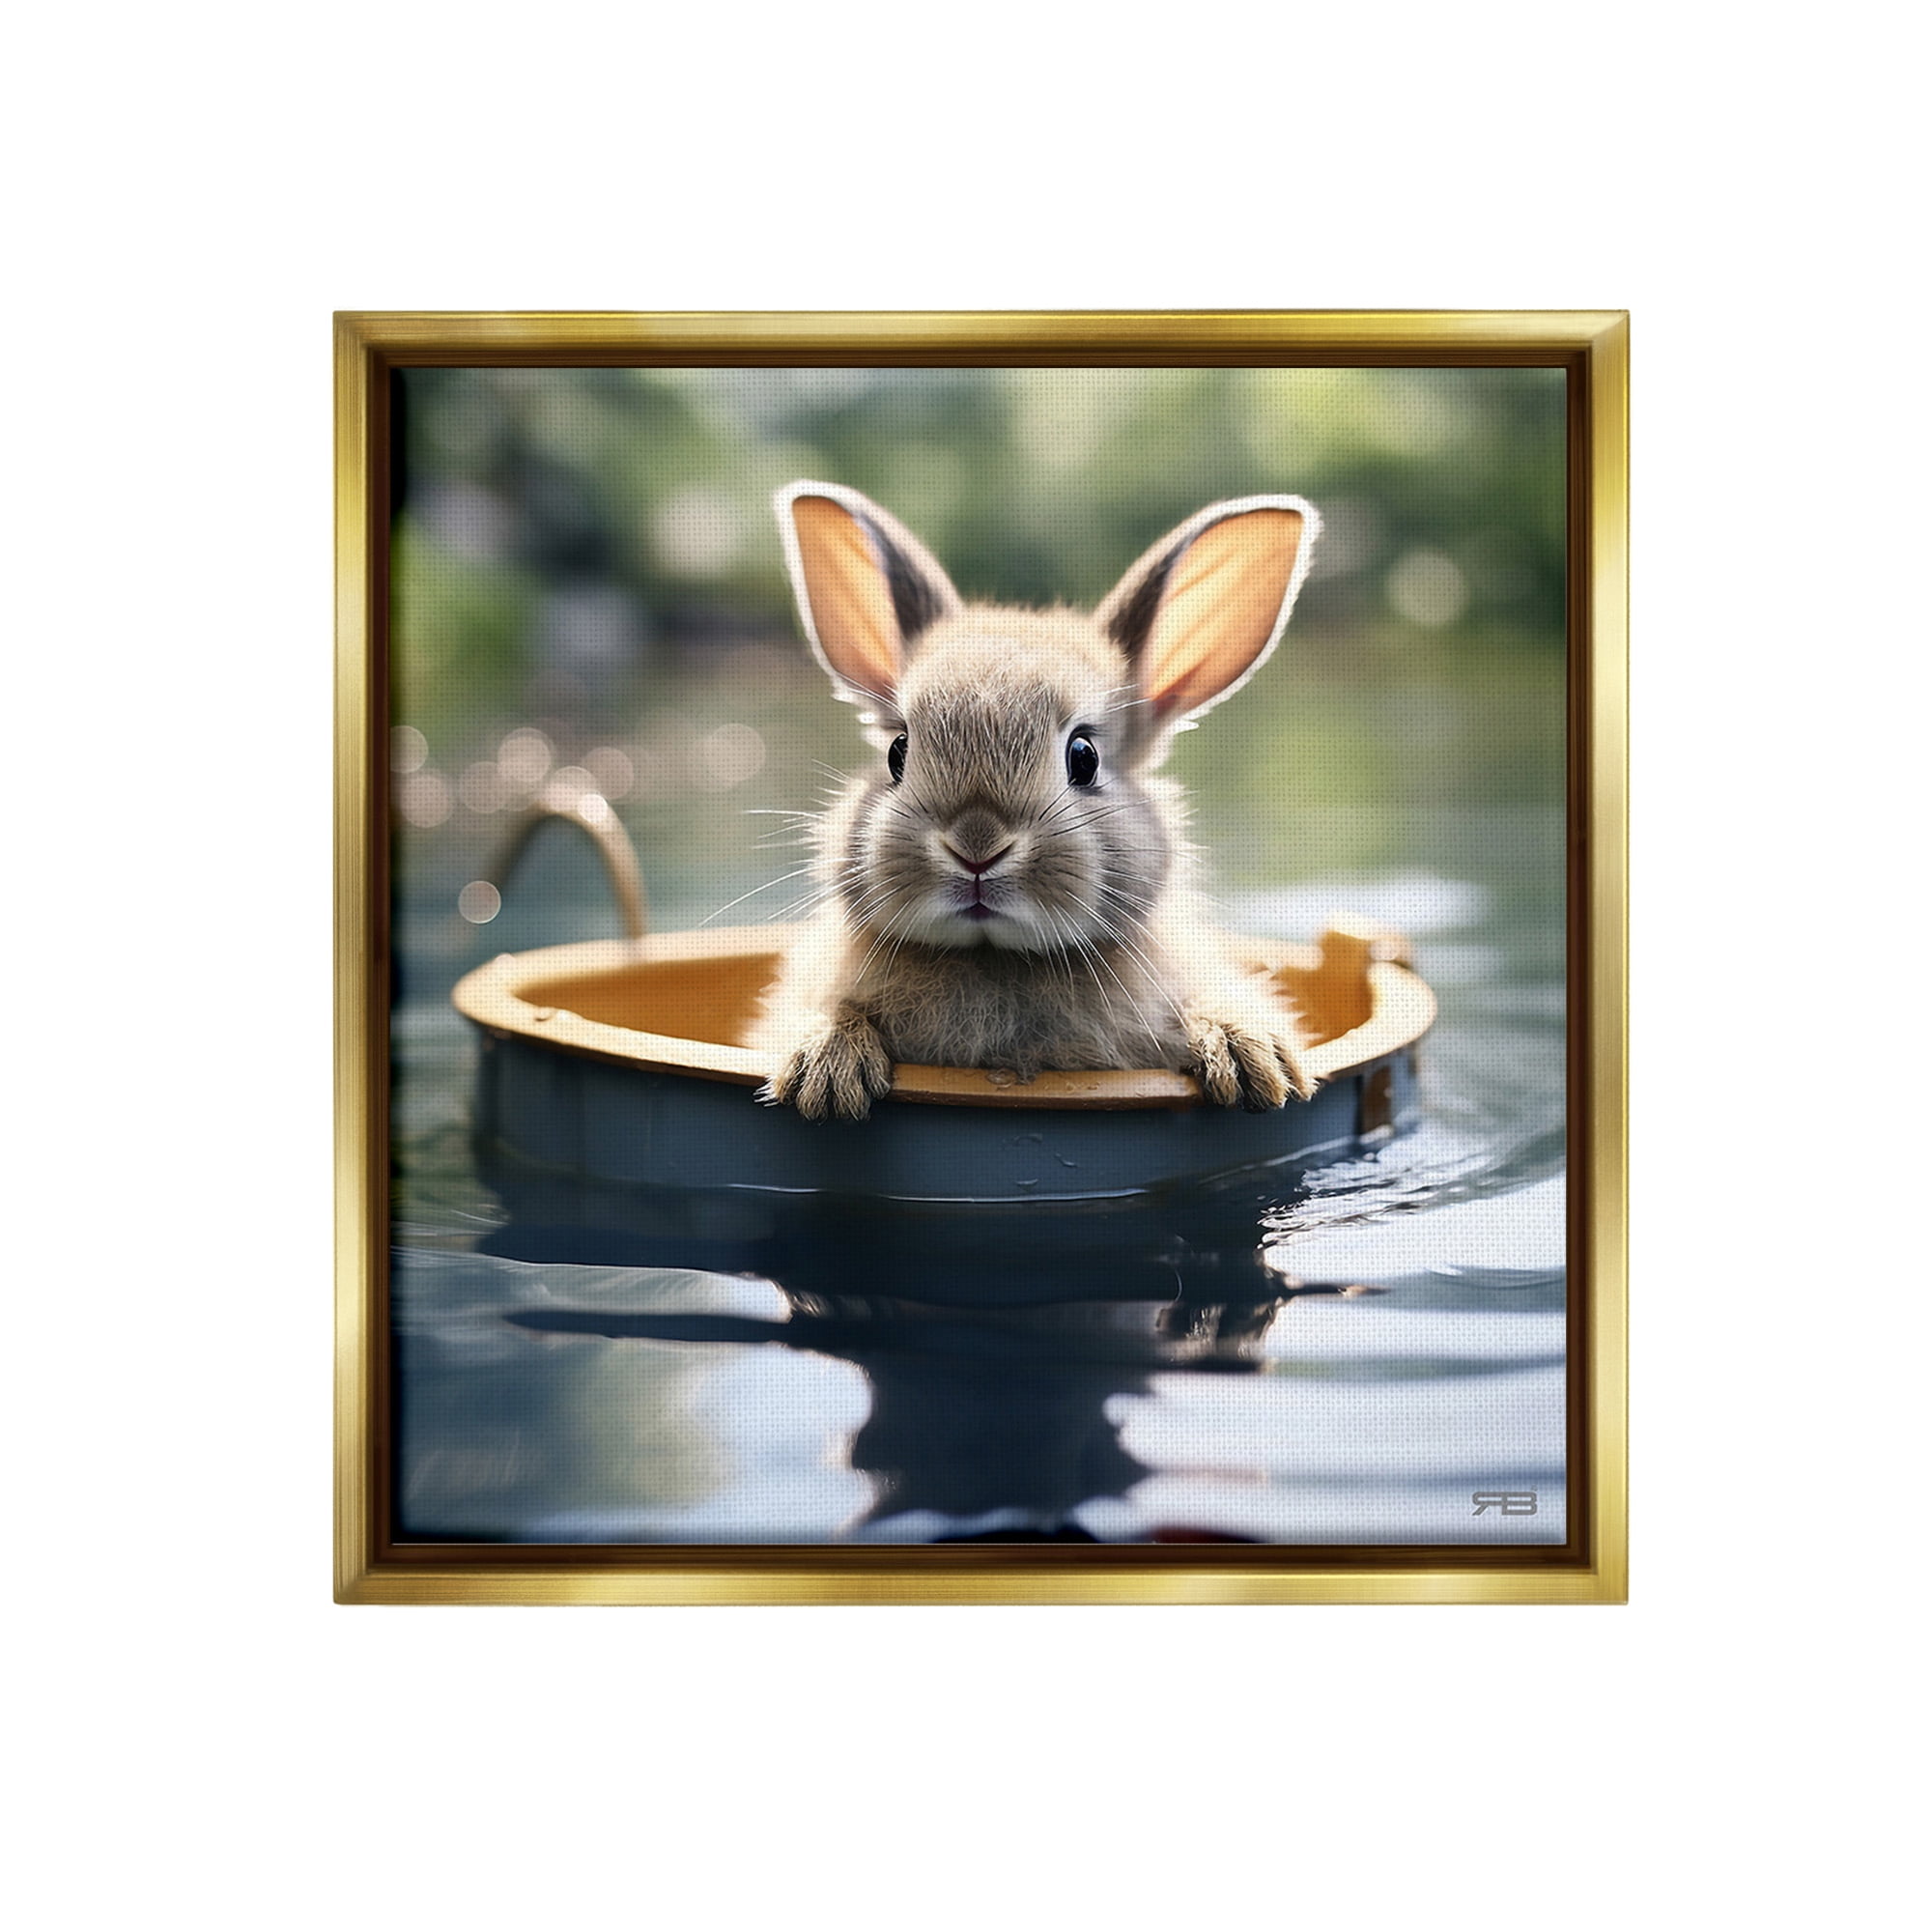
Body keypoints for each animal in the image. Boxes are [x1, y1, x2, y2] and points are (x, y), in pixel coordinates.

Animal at [750, 479, 1322, 1121]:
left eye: (1084, 756)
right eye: (898, 751)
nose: (976, 847)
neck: (993, 957)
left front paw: (1253, 1061)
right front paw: (825, 1073)